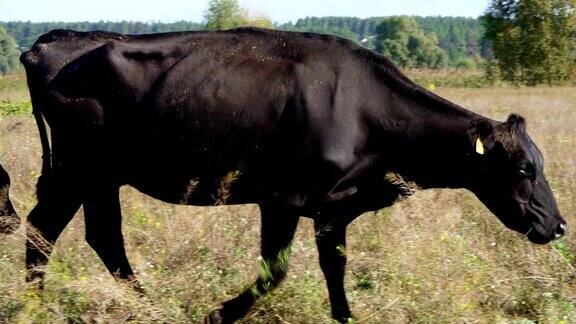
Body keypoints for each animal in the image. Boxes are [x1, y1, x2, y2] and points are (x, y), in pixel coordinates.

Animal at [20, 28, 564, 324]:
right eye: (523, 168)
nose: (558, 226)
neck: (365, 110)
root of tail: (55, 41)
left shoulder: (335, 207)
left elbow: (335, 269)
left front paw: (344, 316)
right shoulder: (281, 198)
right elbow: (274, 271)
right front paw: (218, 313)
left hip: (97, 176)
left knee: (92, 235)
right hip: (79, 169)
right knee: (49, 230)